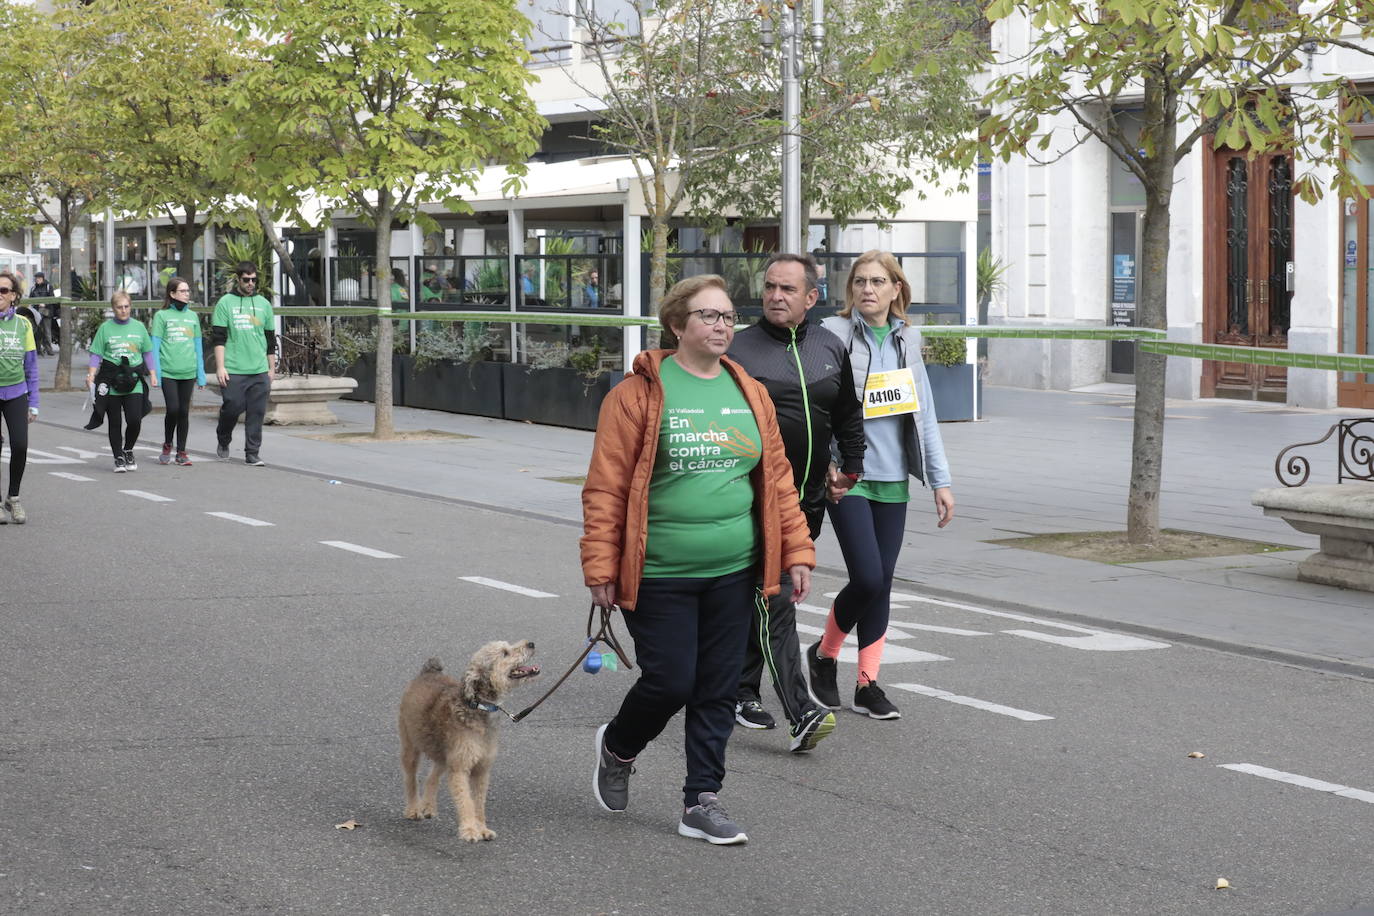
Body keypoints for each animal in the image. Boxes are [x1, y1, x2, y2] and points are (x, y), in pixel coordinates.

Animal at [398, 642, 535, 840]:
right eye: (505, 653)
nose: (531, 644)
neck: (479, 707)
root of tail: (428, 672)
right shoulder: (460, 768)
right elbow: (466, 801)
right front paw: (470, 830)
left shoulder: (481, 769)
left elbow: (478, 803)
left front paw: (482, 828)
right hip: (410, 745)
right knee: (410, 779)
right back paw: (413, 809)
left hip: (444, 752)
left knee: (432, 777)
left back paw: (428, 806)